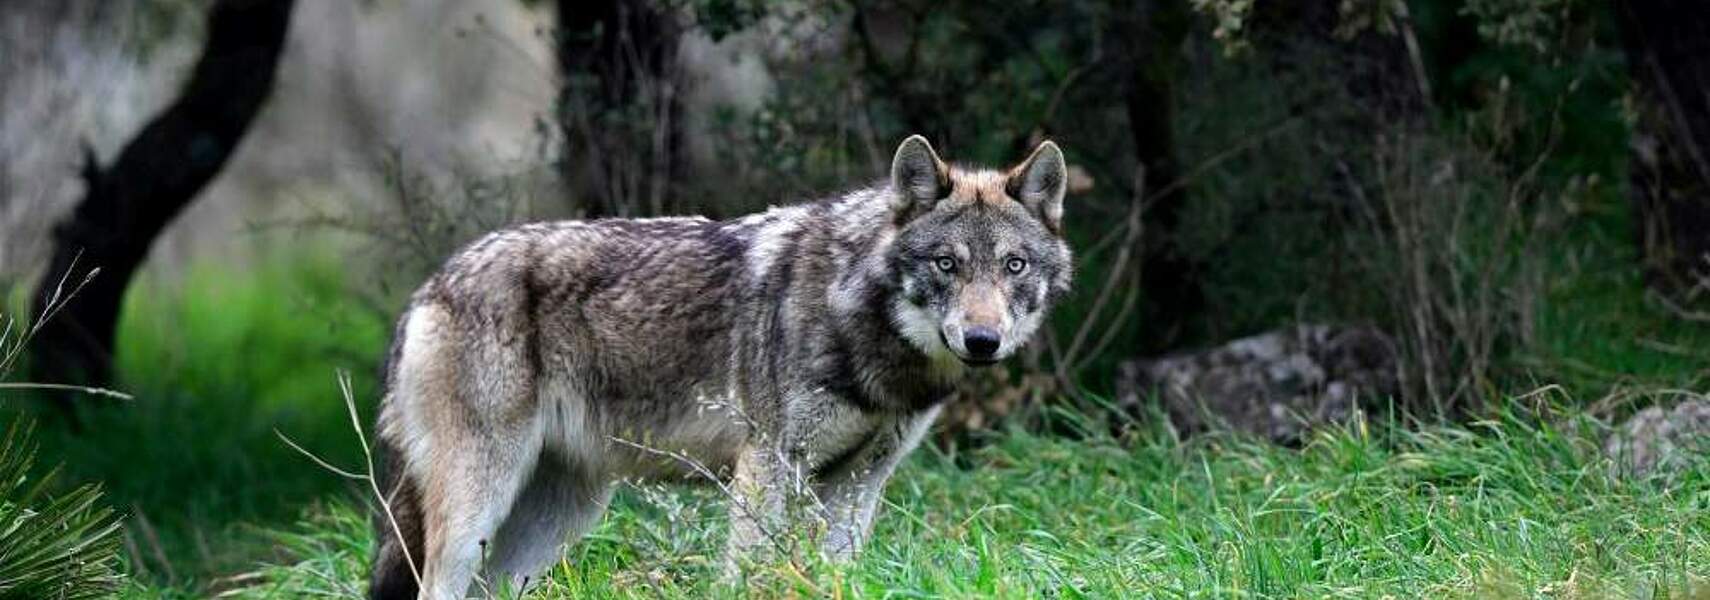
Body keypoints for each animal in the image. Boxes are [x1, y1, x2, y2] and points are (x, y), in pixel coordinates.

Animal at [369, 136, 1073, 600]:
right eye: (947, 264)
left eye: (1013, 265)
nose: (982, 340)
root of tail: (429, 287)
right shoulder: (768, 464)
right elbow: (751, 570)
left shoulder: (859, 484)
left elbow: (835, 572)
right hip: (479, 507)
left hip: (556, 518)